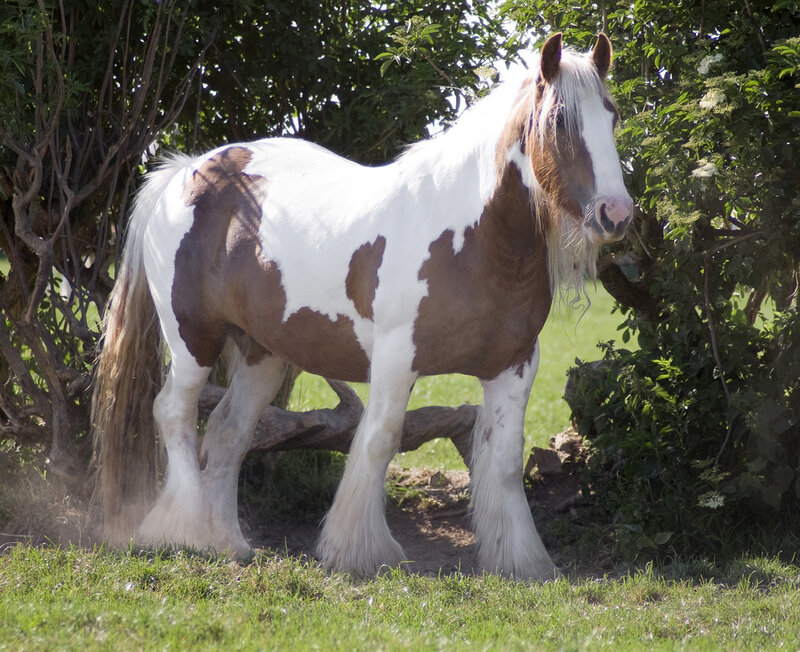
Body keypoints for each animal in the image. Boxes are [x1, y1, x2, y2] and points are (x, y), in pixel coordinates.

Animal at [92, 32, 633, 580]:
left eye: (611, 116)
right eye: (559, 121)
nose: (615, 214)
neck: (474, 239)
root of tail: (187, 172)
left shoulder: (515, 365)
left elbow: (503, 462)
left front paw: (521, 560)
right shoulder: (397, 358)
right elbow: (379, 440)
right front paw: (359, 551)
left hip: (262, 354)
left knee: (228, 433)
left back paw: (229, 542)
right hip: (191, 338)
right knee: (174, 414)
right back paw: (186, 531)